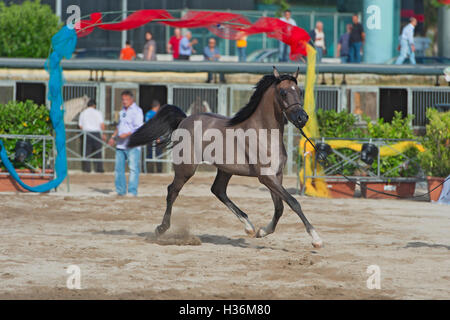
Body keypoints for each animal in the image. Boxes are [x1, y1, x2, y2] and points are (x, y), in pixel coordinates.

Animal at [128, 67, 322, 248]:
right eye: (283, 92)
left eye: (300, 92)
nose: (302, 118)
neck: (264, 133)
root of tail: (184, 120)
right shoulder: (266, 177)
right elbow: (293, 202)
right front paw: (316, 239)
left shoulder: (277, 175)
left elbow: (280, 207)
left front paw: (261, 231)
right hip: (186, 168)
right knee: (172, 191)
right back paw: (161, 228)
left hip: (225, 169)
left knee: (218, 190)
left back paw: (249, 226)